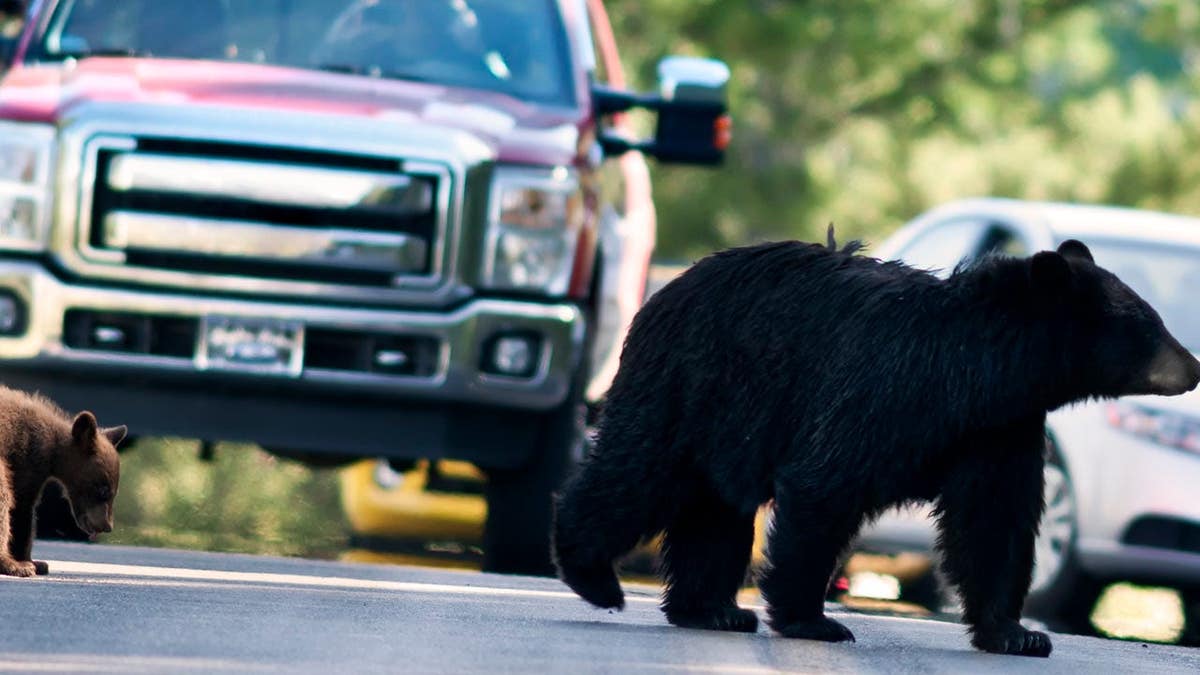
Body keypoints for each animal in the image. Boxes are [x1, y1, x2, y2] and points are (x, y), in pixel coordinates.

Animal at [0, 385, 126, 577]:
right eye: (103, 490)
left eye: (115, 492)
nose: (107, 526)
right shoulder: (26, 460)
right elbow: (21, 506)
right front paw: (24, 564)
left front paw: (34, 562)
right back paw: (10, 564)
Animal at [551, 229, 1200, 657]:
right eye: (1149, 324)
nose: (1193, 367)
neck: (981, 375)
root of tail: (669, 284)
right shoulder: (885, 389)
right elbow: (827, 483)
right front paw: (813, 619)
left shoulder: (1000, 430)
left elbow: (996, 520)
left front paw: (1017, 632)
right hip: (690, 383)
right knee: (638, 471)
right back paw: (593, 574)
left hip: (725, 424)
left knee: (715, 511)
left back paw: (712, 609)